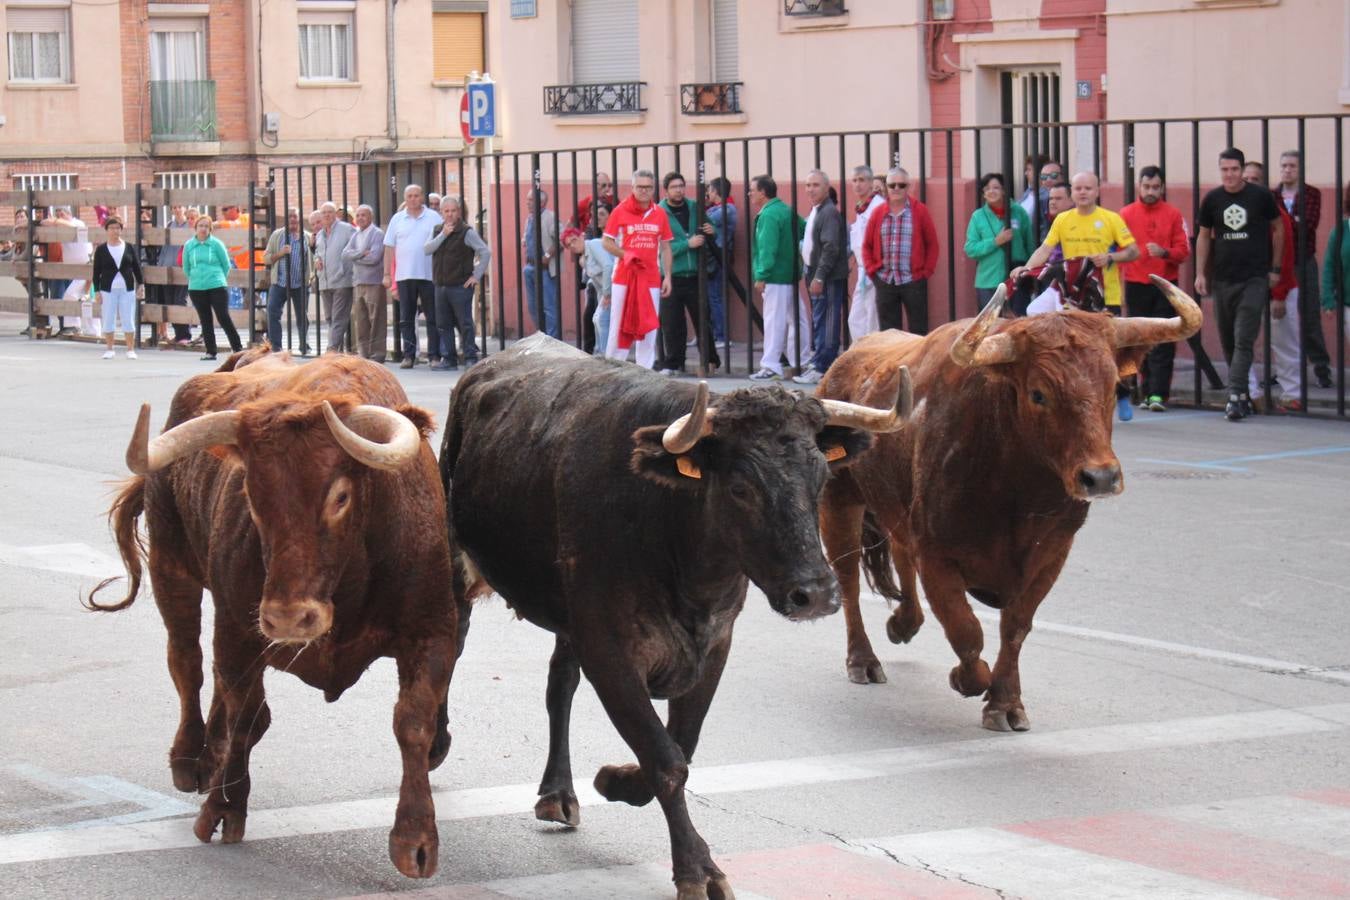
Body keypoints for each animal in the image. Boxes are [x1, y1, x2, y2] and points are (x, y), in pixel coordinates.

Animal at [85, 348, 464, 874]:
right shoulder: (239, 629)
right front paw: (224, 808)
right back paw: (190, 759)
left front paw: (416, 838)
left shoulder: (431, 632)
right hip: (171, 568)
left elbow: (413, 722)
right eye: (250, 492)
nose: (288, 617)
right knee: (188, 663)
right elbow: (242, 710)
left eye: (340, 495)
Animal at [437, 335, 912, 900]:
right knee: (450, 644)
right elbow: (665, 759)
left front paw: (617, 780)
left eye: (818, 477)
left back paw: (558, 792)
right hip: (458, 566)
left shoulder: (713, 648)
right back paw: (437, 743)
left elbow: (680, 746)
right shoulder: (611, 653)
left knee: (559, 684)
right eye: (741, 488)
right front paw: (697, 869)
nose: (815, 594)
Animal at [815, 279, 1198, 734]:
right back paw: (864, 660)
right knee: (849, 581)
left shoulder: (1051, 555)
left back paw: (904, 623)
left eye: (1113, 387)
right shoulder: (938, 556)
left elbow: (1015, 627)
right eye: (1038, 393)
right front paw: (967, 680)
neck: (1016, 492)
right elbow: (966, 630)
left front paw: (1006, 703)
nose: (1101, 477)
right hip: (840, 502)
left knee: (899, 555)